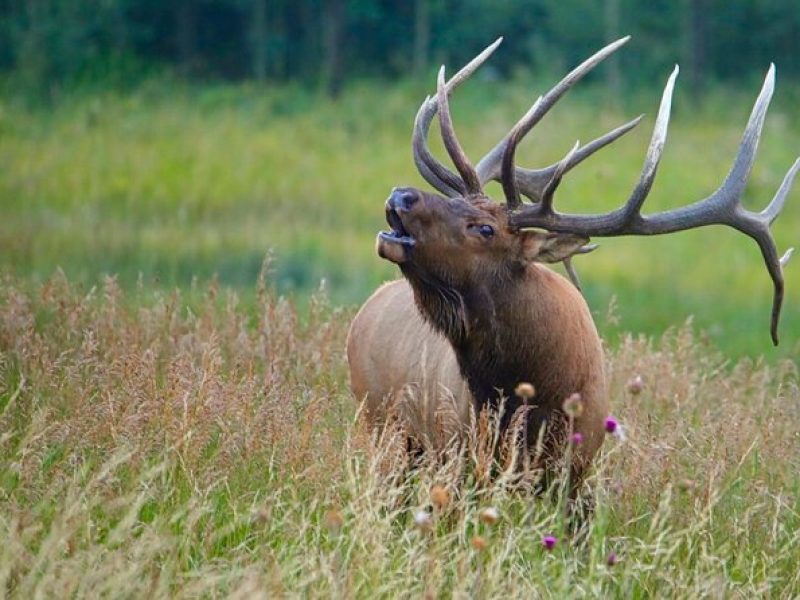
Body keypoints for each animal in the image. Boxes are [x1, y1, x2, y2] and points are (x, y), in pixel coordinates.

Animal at [346, 36, 796, 488]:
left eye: (485, 228)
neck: (534, 396)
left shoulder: (577, 471)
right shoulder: (459, 454)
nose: (402, 195)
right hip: (383, 428)